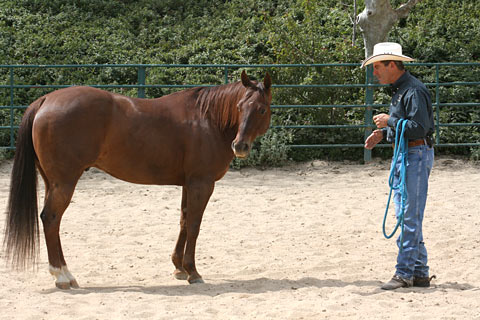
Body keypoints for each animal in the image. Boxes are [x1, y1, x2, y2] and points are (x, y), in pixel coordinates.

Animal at [3, 70, 272, 290]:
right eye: (240, 106)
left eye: (260, 109)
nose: (240, 146)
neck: (208, 119)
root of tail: (45, 100)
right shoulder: (201, 183)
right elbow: (195, 225)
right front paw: (193, 272)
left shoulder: (188, 184)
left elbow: (184, 221)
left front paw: (179, 267)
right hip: (65, 183)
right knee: (51, 219)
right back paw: (62, 276)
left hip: (52, 182)